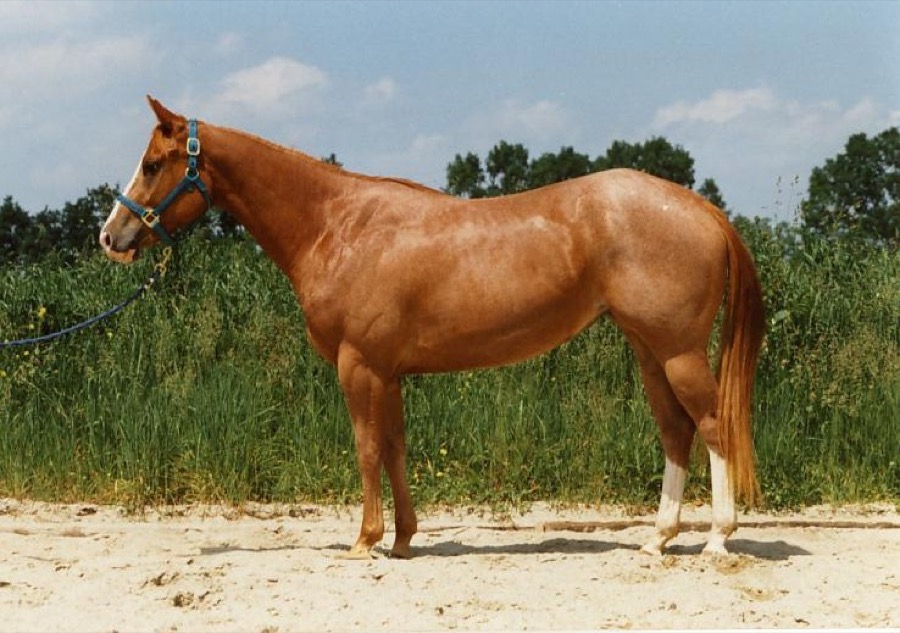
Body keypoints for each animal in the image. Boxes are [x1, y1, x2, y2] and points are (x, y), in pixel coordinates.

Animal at [100, 96, 765, 559]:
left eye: (152, 164)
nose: (111, 236)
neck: (337, 225)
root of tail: (701, 209)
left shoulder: (359, 365)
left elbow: (367, 447)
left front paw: (364, 541)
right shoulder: (388, 371)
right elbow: (396, 446)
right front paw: (401, 539)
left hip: (679, 351)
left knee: (712, 425)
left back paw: (717, 539)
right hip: (650, 350)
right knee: (676, 432)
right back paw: (658, 538)